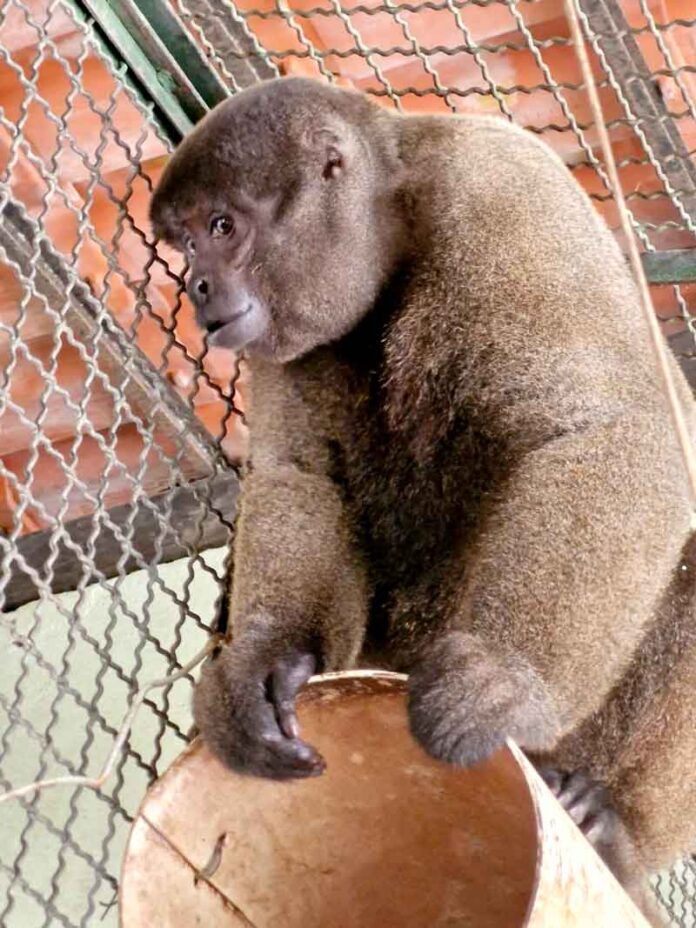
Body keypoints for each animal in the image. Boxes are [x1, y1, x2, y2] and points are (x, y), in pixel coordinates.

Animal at [150, 77, 696, 919]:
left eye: (222, 227)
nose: (197, 286)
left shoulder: (502, 185)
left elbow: (619, 430)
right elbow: (300, 475)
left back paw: (608, 822)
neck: (396, 218)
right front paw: (260, 669)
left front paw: (508, 679)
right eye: (184, 244)